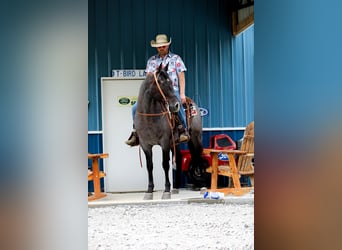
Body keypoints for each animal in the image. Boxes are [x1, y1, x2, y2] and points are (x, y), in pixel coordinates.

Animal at [134, 63, 203, 200]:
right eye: (161, 82)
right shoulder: (145, 145)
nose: (176, 105)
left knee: (197, 156)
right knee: (180, 157)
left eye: (171, 81)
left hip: (195, 137)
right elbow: (149, 166)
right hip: (174, 142)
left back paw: (201, 186)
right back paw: (175, 188)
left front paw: (166, 190)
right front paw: (149, 191)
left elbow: (165, 164)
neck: (149, 117)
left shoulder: (164, 142)